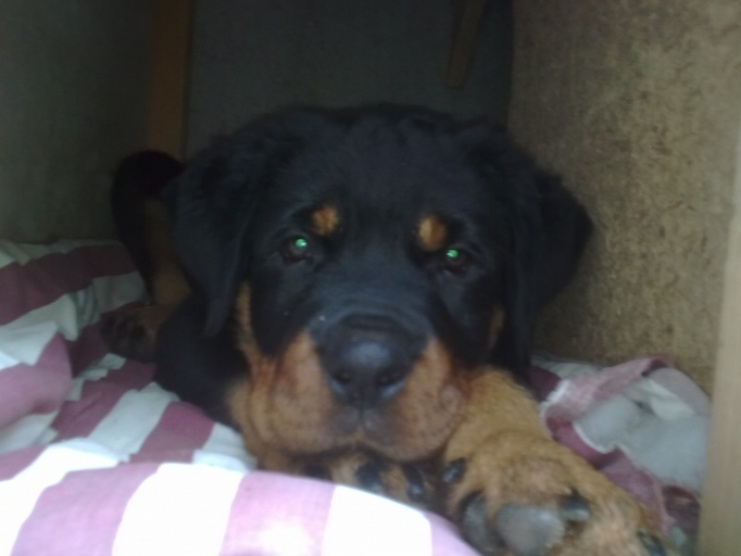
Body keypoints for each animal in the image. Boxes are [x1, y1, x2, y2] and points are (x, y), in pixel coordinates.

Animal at [103, 106, 670, 555]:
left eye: (455, 258)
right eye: (298, 246)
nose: (365, 370)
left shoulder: (510, 335)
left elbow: (497, 382)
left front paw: (535, 471)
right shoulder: (194, 332)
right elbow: (254, 390)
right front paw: (344, 459)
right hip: (139, 169)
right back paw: (138, 321)